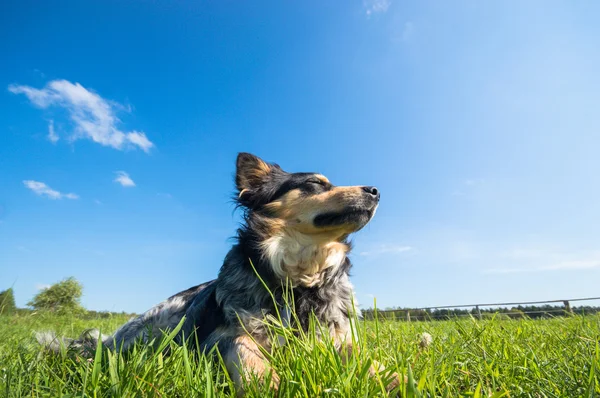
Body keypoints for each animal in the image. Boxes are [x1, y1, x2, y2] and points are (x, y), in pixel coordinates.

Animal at [39, 154, 400, 394]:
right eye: (314, 183)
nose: (376, 191)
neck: (298, 281)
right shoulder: (221, 336)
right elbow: (242, 346)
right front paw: (268, 382)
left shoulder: (337, 338)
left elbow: (367, 359)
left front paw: (395, 378)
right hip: (163, 322)